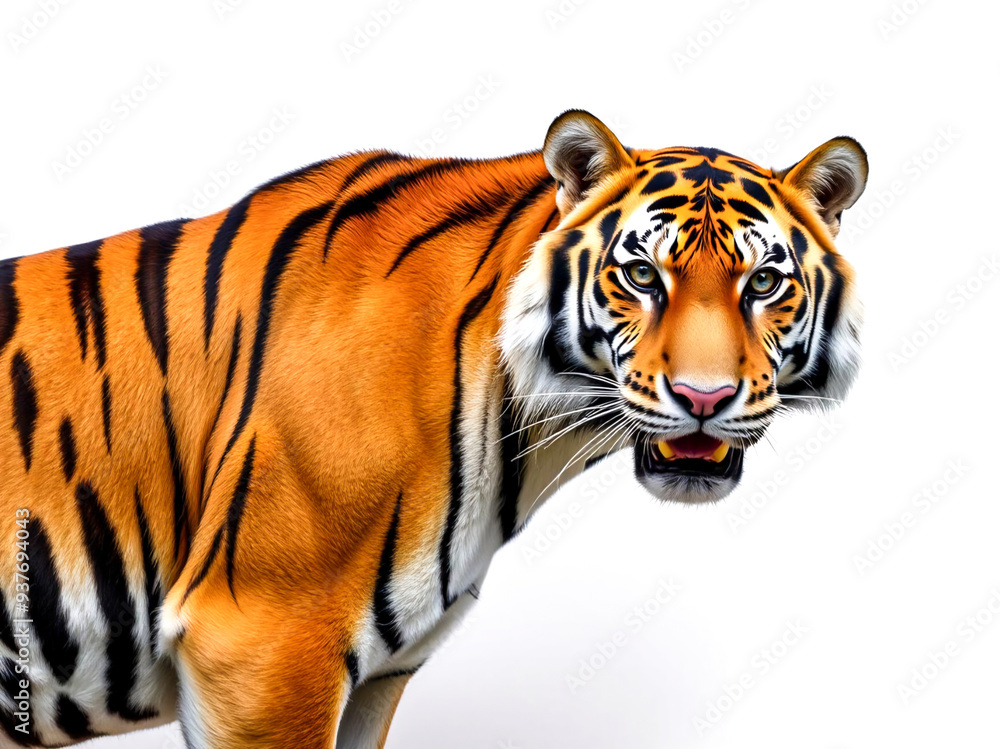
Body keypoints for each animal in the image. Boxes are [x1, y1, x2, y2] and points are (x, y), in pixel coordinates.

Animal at [0, 109, 867, 748]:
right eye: (642, 275)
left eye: (764, 282)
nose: (703, 396)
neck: (529, 436)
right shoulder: (261, 644)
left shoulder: (372, 673)